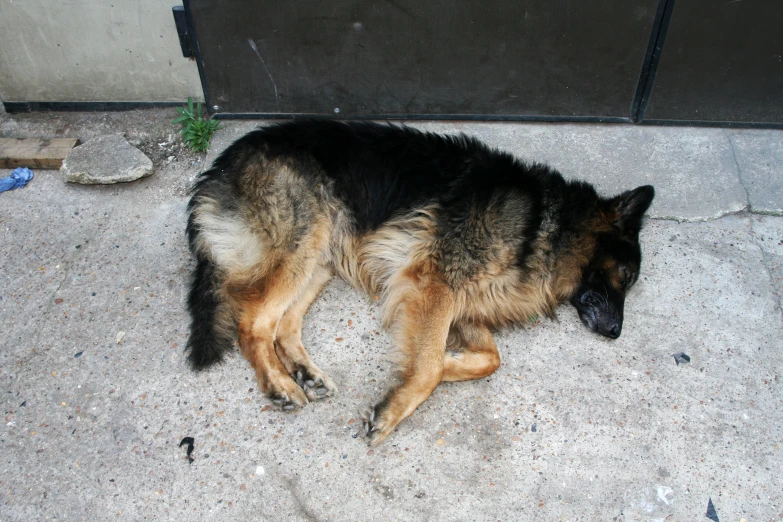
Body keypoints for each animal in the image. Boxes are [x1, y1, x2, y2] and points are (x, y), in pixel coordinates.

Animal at [185, 120, 656, 444]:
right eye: (626, 277)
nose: (616, 333)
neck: (549, 226)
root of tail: (224, 160)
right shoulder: (435, 284)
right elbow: (428, 367)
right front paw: (396, 405)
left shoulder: (464, 304)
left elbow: (488, 360)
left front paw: (444, 362)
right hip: (305, 239)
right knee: (253, 324)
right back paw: (280, 384)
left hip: (322, 258)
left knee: (284, 325)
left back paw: (304, 372)